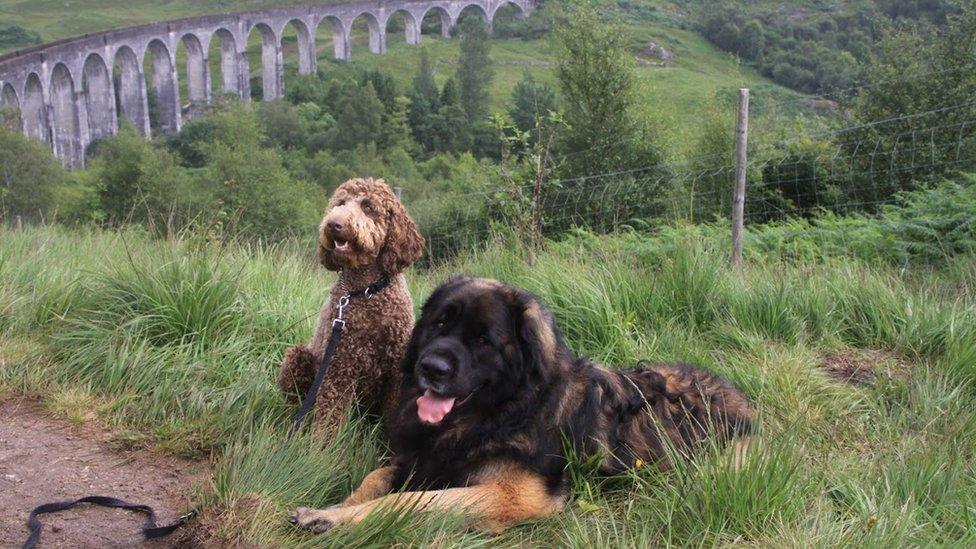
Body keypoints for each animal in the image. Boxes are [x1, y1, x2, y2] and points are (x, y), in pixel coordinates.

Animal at [276, 179, 426, 436]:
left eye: (368, 207)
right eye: (340, 203)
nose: (333, 224)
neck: (366, 292)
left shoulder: (396, 370)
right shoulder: (338, 367)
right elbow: (329, 419)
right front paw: (320, 447)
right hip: (298, 358)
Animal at [290, 276, 756, 532]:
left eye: (483, 340)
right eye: (439, 324)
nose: (430, 368)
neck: (501, 412)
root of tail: (740, 399)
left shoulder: (514, 494)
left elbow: (410, 501)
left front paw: (337, 519)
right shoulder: (424, 458)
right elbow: (375, 478)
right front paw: (335, 509)